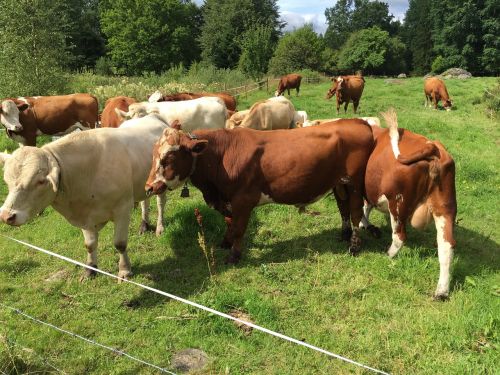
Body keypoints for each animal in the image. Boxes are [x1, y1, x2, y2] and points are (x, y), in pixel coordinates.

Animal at [0, 114, 170, 282]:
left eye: (40, 181)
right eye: (7, 181)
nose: (6, 216)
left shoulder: (122, 209)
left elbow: (120, 243)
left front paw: (125, 271)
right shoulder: (85, 216)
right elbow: (89, 244)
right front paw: (90, 269)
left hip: (160, 184)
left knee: (160, 204)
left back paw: (160, 228)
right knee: (145, 202)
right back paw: (144, 225)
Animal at [145, 120, 376, 264]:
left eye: (169, 157)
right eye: (154, 153)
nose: (149, 187)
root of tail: (357, 121)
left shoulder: (243, 200)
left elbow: (239, 228)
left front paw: (234, 255)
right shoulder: (228, 199)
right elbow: (229, 223)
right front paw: (226, 242)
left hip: (355, 184)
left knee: (356, 213)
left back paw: (354, 246)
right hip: (339, 184)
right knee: (343, 208)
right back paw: (344, 235)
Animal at [360, 108, 458, 300]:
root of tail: (433, 148)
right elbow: (366, 206)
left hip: (398, 204)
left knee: (399, 237)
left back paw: (388, 254)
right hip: (445, 209)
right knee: (446, 245)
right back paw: (441, 291)